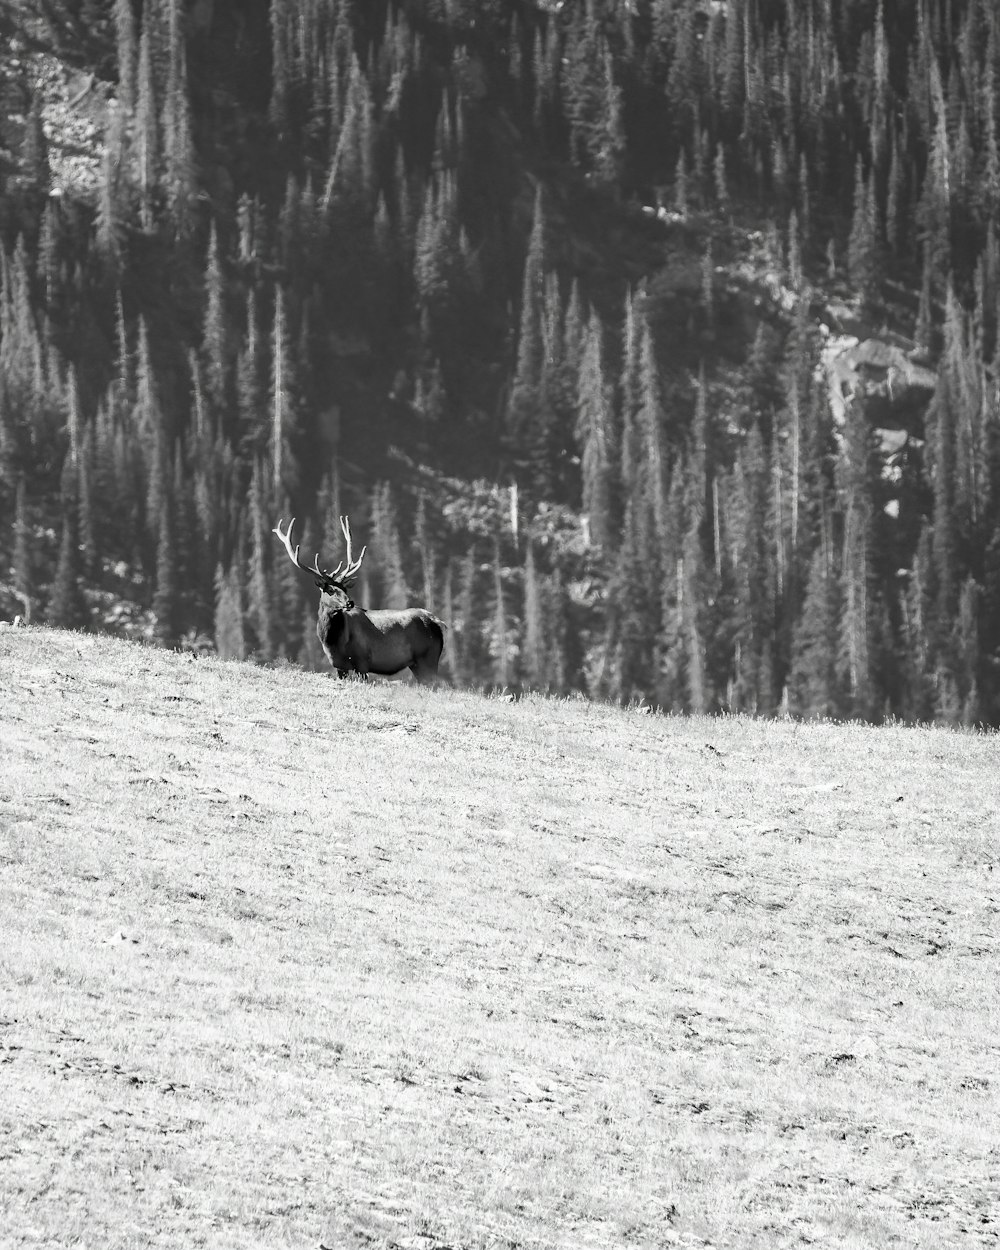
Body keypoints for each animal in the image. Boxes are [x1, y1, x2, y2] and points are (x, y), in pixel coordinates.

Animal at [273, 512, 445, 685]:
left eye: (345, 588)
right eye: (330, 590)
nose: (350, 602)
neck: (332, 641)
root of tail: (436, 621)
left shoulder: (362, 661)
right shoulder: (339, 666)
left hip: (427, 657)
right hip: (417, 663)